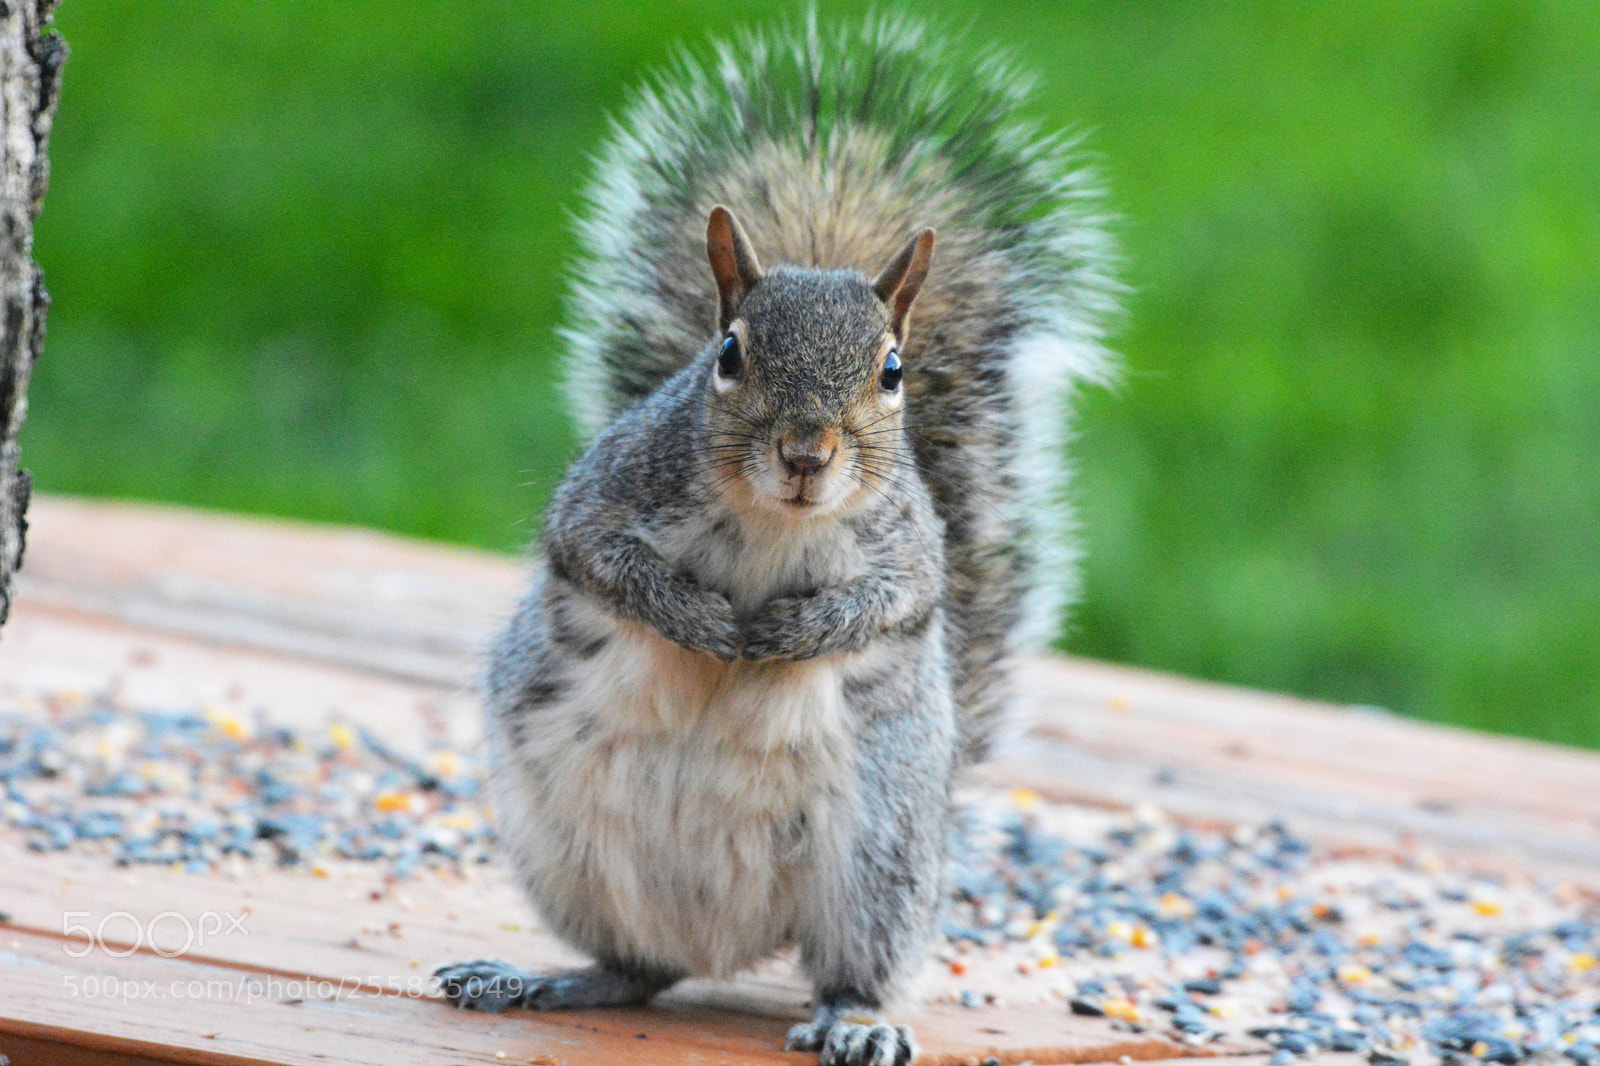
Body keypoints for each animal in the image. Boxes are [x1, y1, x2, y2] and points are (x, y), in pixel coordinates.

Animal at [436, 17, 1116, 1066]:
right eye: (729, 354)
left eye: (892, 371)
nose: (806, 452)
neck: (772, 521)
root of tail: (727, 938)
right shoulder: (605, 494)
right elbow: (602, 559)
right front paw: (701, 622)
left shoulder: (913, 552)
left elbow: (890, 604)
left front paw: (788, 636)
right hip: (565, 849)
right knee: (633, 969)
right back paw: (536, 977)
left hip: (878, 860)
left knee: (844, 970)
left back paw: (855, 1023)